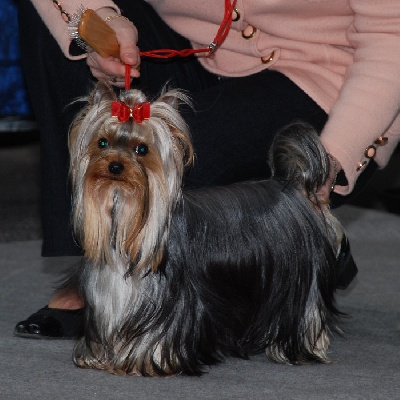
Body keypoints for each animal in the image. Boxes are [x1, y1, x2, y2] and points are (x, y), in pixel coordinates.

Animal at [66, 81, 356, 376]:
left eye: (142, 150)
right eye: (102, 143)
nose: (115, 165)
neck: (125, 217)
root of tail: (294, 185)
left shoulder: (170, 303)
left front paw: (146, 361)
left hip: (298, 282)